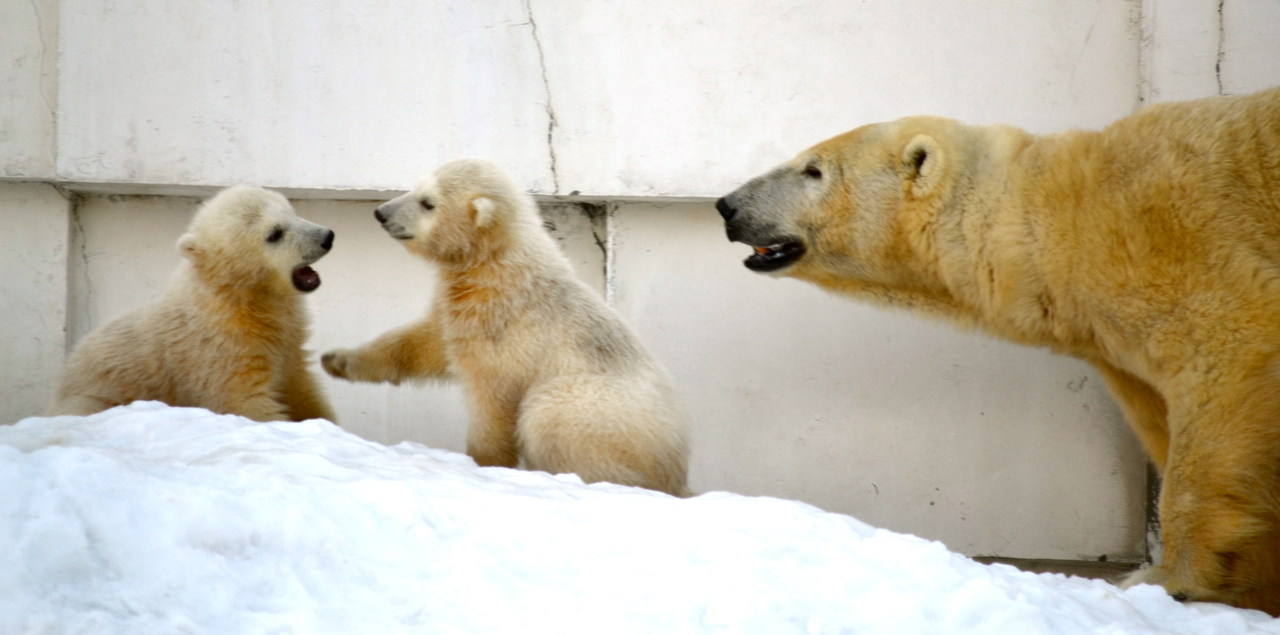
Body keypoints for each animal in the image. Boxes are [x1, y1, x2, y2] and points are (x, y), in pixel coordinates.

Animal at [716, 87, 1280, 611]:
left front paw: (1168, 579)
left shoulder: (1170, 244)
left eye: (813, 169)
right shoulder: (1112, 338)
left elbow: (1227, 348)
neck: (1063, 213)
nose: (727, 205)